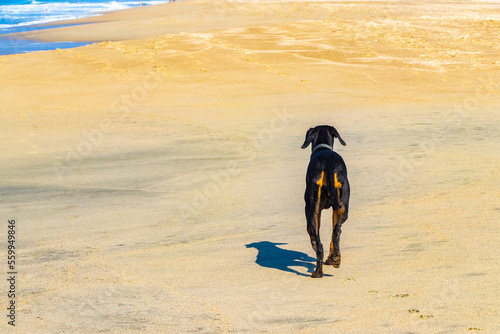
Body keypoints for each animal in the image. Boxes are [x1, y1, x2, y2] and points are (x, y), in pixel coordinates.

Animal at [300, 124, 352, 276]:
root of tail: (327, 165)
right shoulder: (336, 209)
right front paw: (334, 258)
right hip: (343, 206)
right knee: (337, 231)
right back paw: (333, 260)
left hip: (311, 209)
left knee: (318, 244)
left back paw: (317, 273)